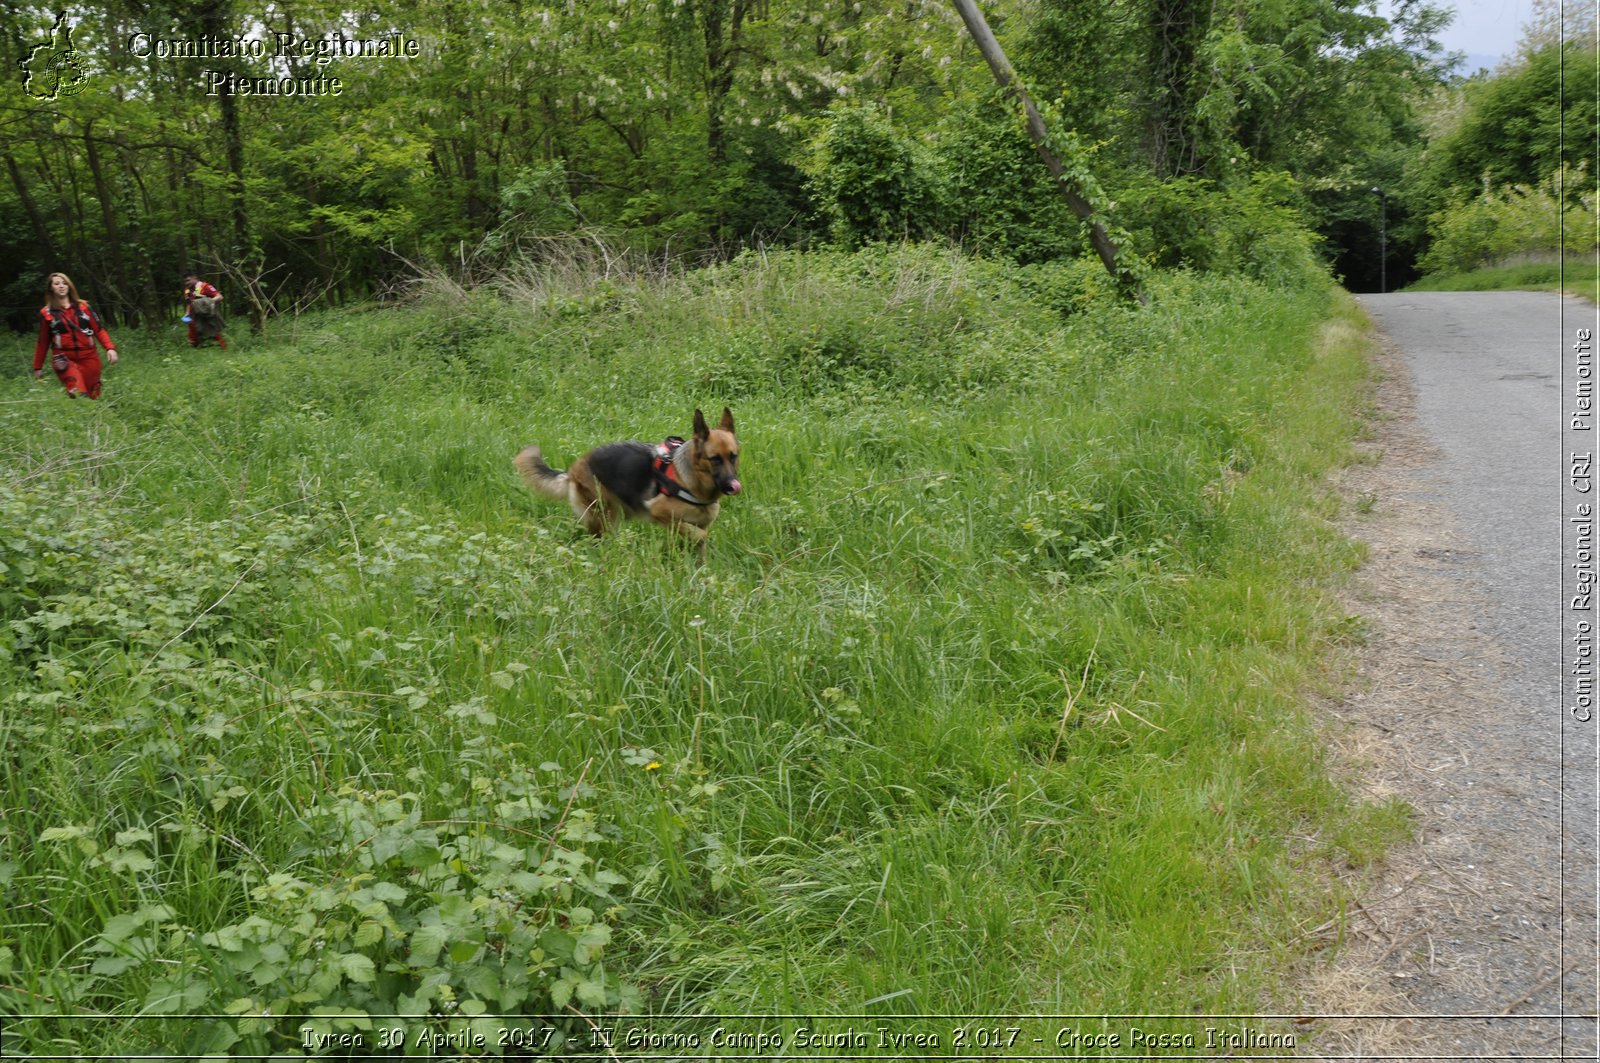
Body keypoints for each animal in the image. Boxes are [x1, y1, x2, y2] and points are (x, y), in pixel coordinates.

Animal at [515, 406, 739, 557]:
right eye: (715, 459)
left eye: (733, 456)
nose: (733, 485)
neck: (692, 481)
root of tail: (574, 468)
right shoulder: (661, 513)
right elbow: (701, 535)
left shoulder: (696, 525)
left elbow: (700, 544)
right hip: (605, 516)